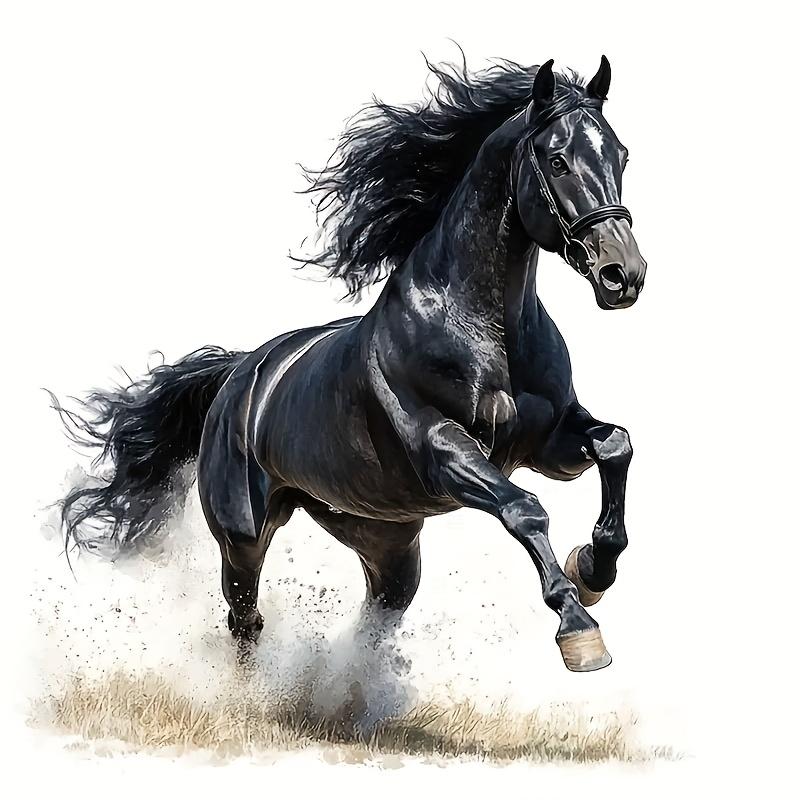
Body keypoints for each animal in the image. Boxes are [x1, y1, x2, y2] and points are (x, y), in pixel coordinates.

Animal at [54, 56, 646, 672]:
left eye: (622, 154)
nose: (623, 275)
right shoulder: (444, 451)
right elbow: (524, 509)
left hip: (383, 538)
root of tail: (237, 378)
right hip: (243, 536)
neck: (486, 329)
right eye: (557, 159)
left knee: (375, 618)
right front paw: (579, 628)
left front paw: (594, 569)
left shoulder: (546, 443)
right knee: (245, 618)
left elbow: (615, 446)